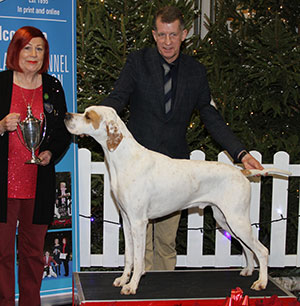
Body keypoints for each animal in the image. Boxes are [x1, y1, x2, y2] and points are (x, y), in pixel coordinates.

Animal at [65, 105, 290, 294]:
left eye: (88, 116)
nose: (67, 115)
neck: (124, 159)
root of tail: (242, 171)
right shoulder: (127, 221)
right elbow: (128, 256)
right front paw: (123, 279)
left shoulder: (139, 222)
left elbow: (138, 258)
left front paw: (132, 285)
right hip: (226, 220)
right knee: (248, 248)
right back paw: (248, 270)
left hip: (237, 220)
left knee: (262, 250)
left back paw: (261, 282)